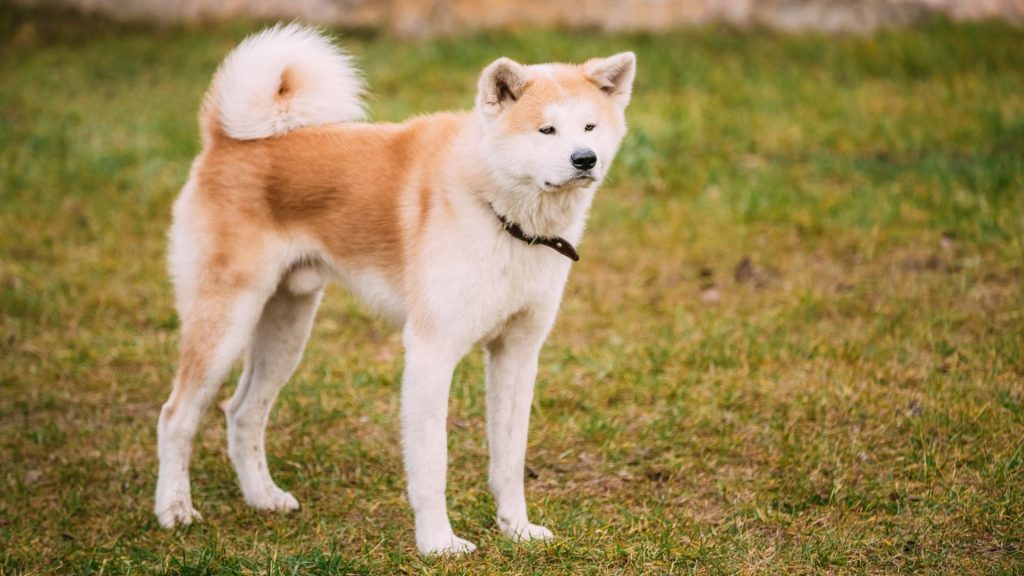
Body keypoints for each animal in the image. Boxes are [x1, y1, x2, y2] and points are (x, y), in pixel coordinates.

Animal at [153, 23, 630, 553]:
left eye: (589, 127)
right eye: (546, 130)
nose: (585, 159)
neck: (499, 212)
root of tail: (224, 139)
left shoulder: (518, 353)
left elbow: (509, 459)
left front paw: (517, 529)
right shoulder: (430, 351)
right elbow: (432, 464)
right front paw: (439, 544)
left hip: (286, 329)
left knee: (242, 412)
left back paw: (263, 498)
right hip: (226, 322)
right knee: (175, 416)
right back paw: (174, 510)